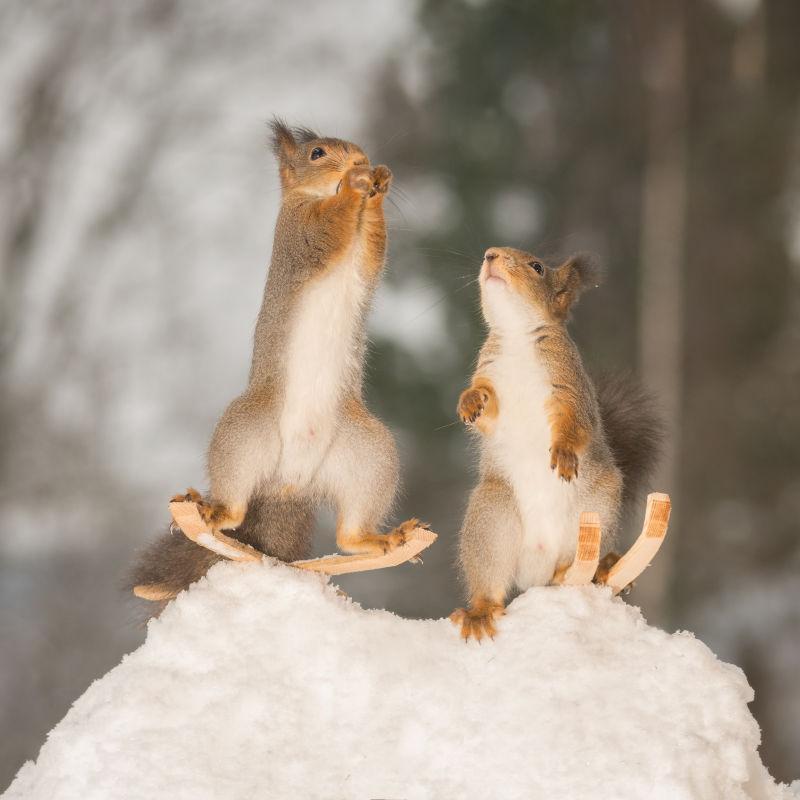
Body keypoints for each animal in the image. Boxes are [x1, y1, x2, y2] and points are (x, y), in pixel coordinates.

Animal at [130, 120, 424, 608]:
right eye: (317, 153)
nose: (361, 160)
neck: (317, 196)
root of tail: (291, 482)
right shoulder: (300, 234)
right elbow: (328, 229)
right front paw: (355, 185)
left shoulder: (363, 259)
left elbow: (374, 249)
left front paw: (378, 184)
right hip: (245, 435)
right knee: (234, 509)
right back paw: (211, 510)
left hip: (370, 457)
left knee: (349, 535)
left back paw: (383, 539)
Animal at [450, 247, 664, 640]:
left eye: (537, 267)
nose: (490, 255)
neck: (517, 338)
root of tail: (538, 567)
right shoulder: (489, 376)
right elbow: (485, 409)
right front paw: (469, 402)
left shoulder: (570, 388)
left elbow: (575, 426)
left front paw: (564, 454)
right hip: (493, 517)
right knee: (491, 580)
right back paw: (481, 611)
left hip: (594, 508)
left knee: (574, 566)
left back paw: (598, 566)